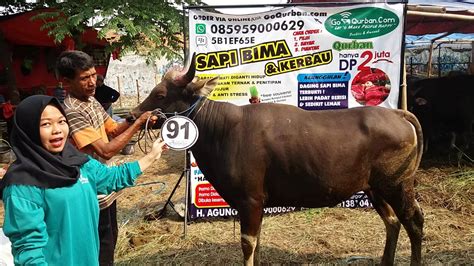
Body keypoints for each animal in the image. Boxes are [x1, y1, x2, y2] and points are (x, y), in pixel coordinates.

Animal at [131, 55, 424, 264]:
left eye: (160, 94)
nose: (132, 115)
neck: (224, 130)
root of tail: (397, 113)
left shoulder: (250, 202)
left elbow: (248, 244)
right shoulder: (256, 205)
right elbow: (258, 244)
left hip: (397, 186)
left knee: (414, 222)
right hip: (375, 189)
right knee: (393, 222)